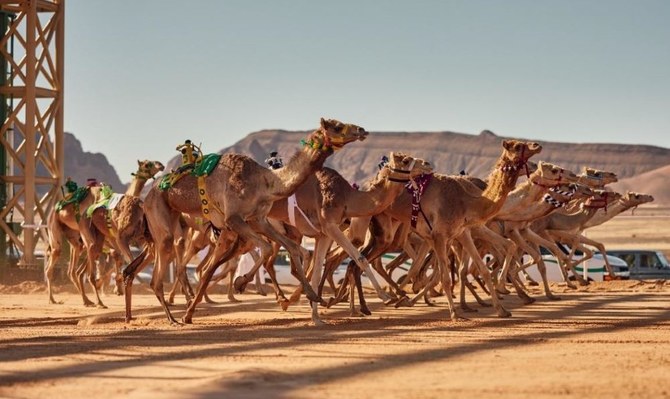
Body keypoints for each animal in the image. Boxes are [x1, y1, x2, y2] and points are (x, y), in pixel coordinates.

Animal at [126, 119, 370, 324]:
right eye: (337, 126)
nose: (361, 130)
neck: (265, 182)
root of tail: (149, 194)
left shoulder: (258, 220)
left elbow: (292, 249)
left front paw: (311, 295)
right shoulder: (234, 219)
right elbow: (265, 250)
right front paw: (242, 283)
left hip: (171, 221)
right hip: (162, 216)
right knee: (166, 266)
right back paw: (173, 317)